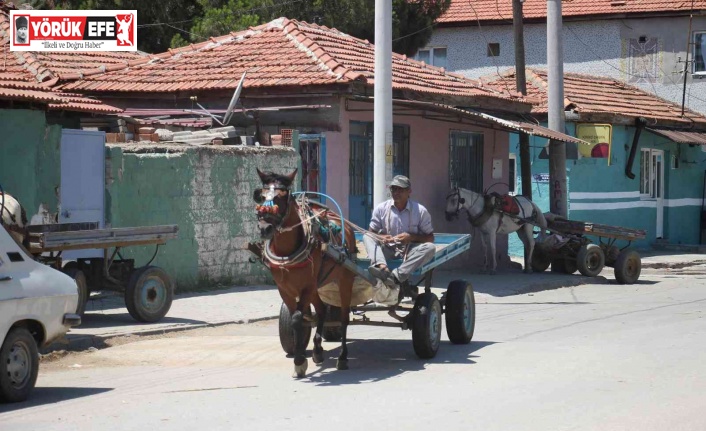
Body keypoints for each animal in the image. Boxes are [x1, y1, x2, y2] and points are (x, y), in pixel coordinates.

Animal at [253, 169, 354, 378]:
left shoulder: (307, 287)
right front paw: (301, 355)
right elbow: (295, 319)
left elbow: (299, 318)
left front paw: (299, 361)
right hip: (318, 286)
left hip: (344, 280)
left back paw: (342, 357)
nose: (265, 228)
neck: (286, 252)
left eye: (281, 197)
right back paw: (317, 351)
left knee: (344, 318)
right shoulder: (285, 289)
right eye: (261, 196)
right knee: (322, 310)